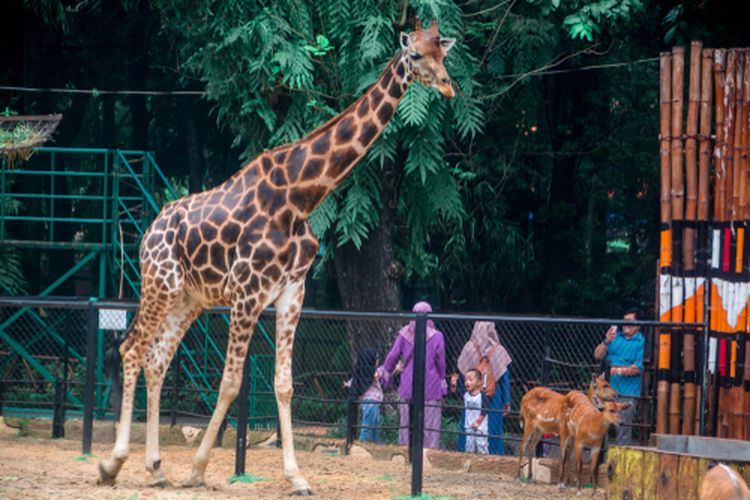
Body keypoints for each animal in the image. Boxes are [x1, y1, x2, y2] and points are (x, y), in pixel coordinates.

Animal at [97, 17, 456, 494]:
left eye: (443, 54)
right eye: (415, 54)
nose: (448, 86)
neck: (302, 195)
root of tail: (147, 232)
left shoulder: (292, 290)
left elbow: (283, 384)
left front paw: (297, 476)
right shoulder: (248, 292)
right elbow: (231, 383)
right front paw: (197, 469)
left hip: (188, 300)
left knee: (156, 360)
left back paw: (155, 468)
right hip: (159, 284)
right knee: (131, 348)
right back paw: (113, 463)